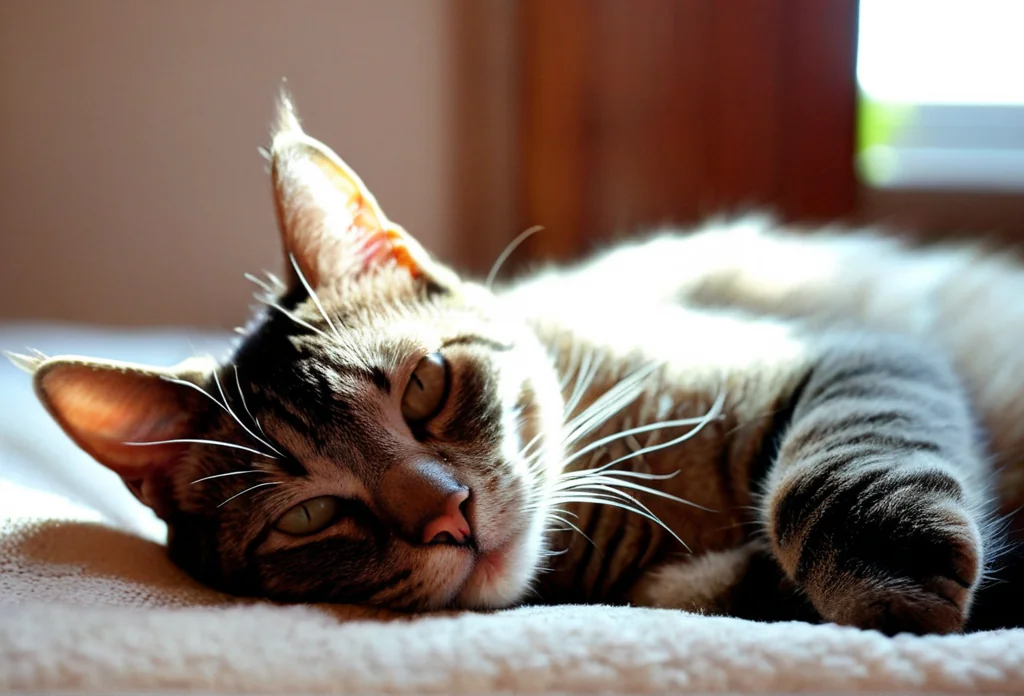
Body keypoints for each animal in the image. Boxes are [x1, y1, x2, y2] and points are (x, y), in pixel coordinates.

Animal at [9, 97, 1024, 634]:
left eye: (424, 385)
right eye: (308, 516)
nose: (449, 515)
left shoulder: (847, 354)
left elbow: (834, 470)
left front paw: (890, 581)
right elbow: (706, 593)